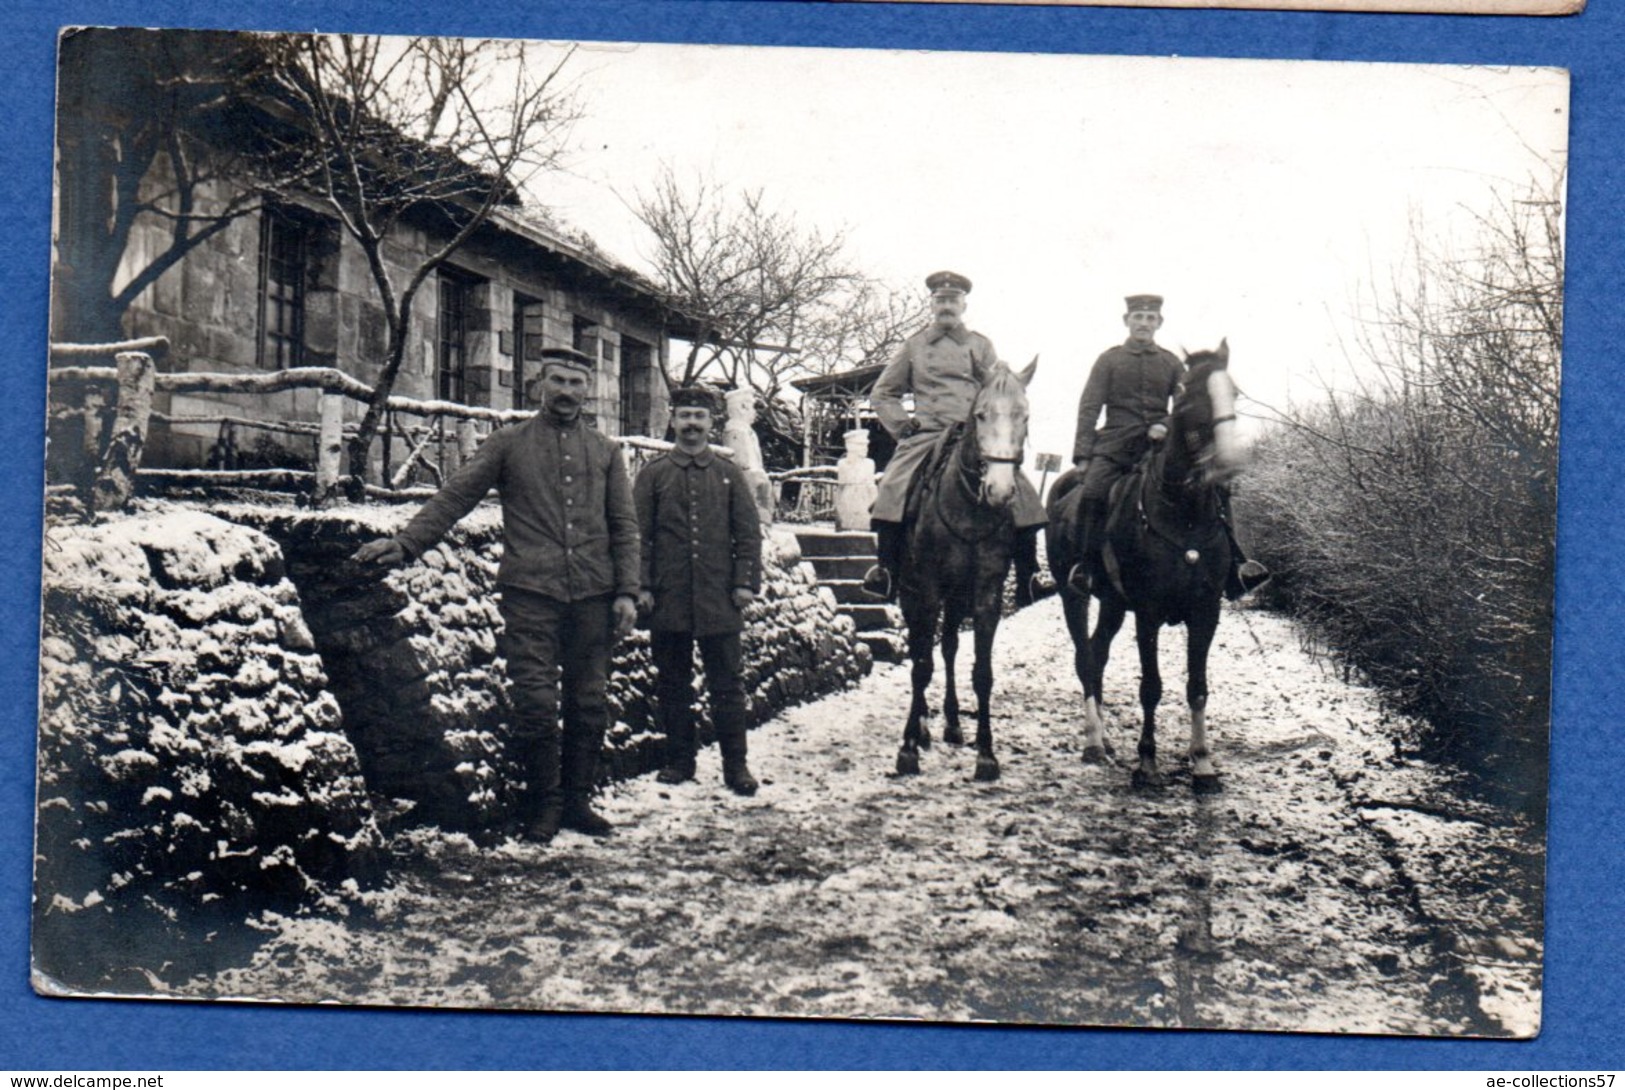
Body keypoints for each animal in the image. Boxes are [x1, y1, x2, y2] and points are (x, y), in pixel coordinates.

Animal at [897, 357, 1033, 786]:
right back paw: (923, 728)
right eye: (980, 414)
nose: (1000, 491)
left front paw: (986, 754)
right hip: (911, 593)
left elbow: (982, 672)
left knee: (949, 646)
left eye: (1024, 416)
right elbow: (921, 665)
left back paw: (953, 723)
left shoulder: (987, 593)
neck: (969, 510)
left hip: (957, 597)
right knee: (921, 649)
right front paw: (907, 748)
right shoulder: (925, 588)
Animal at [1046, 341, 1248, 792]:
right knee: (1085, 658)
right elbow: (1151, 687)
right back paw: (1093, 742)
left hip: (1113, 604)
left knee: (1098, 653)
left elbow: (1197, 687)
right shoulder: (1149, 614)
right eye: (1189, 395)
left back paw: (1105, 738)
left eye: (1234, 392)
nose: (1228, 461)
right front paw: (1147, 763)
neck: (1183, 514)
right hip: (1073, 595)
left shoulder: (1205, 611)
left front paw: (1203, 765)